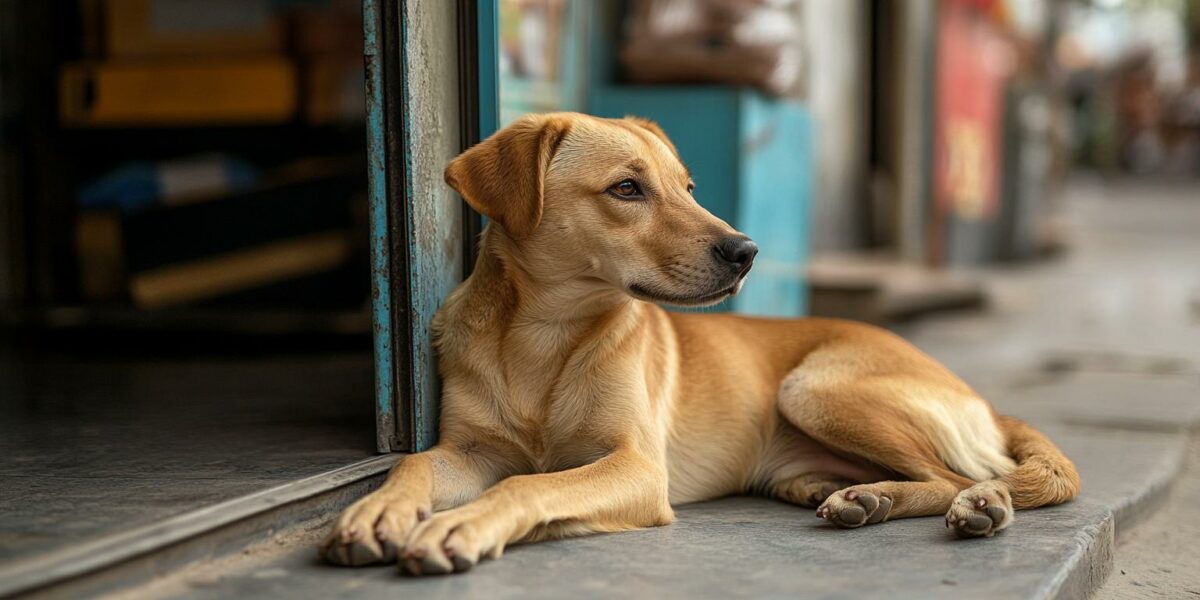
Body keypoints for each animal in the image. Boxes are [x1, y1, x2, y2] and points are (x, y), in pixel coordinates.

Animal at [316, 113, 1080, 576]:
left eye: (687, 187)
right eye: (627, 188)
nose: (746, 251)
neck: (544, 338)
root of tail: (979, 396)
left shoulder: (635, 467)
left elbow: (531, 484)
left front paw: (460, 527)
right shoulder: (471, 451)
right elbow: (415, 464)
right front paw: (380, 510)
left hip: (814, 387)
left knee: (960, 476)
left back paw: (973, 505)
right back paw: (853, 494)